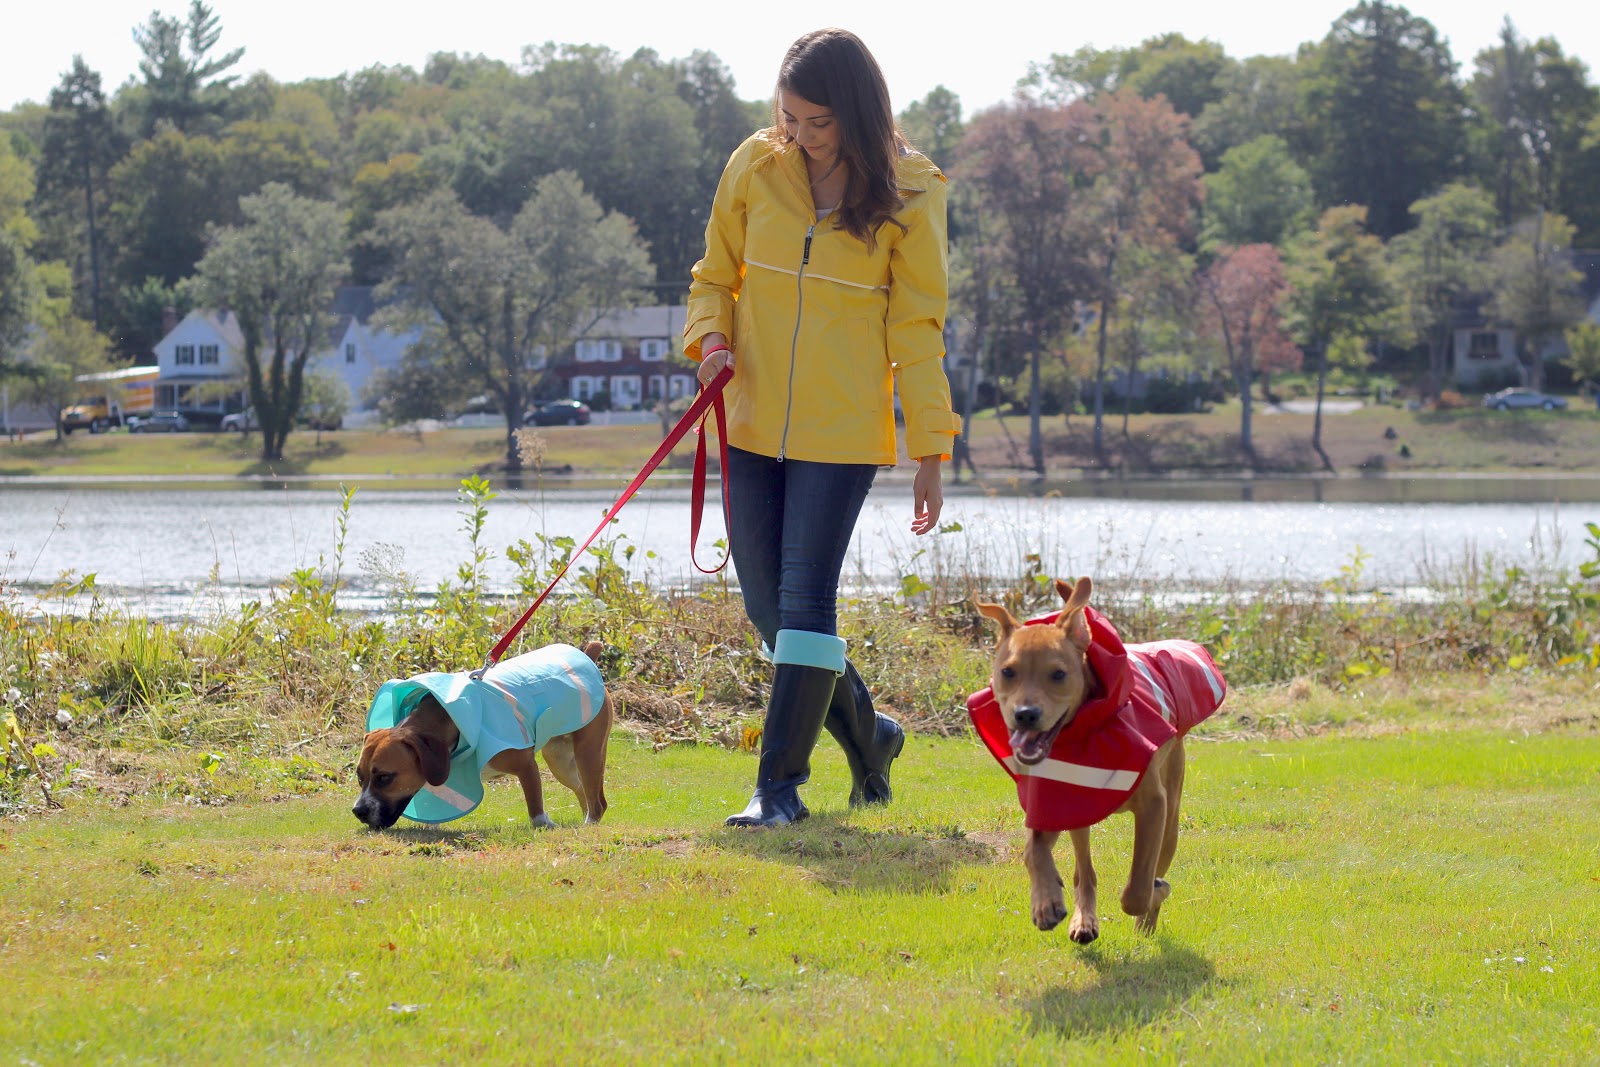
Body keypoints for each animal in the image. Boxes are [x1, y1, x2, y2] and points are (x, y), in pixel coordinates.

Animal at [355, 639, 611, 831]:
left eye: (385, 777)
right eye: (359, 777)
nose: (358, 811)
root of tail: (587, 656)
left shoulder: (526, 767)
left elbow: (535, 808)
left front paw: (545, 824)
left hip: (588, 755)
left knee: (597, 803)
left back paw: (588, 825)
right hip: (561, 763)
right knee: (584, 793)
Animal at [972, 579, 1222, 940]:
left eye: (1058, 674)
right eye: (1008, 671)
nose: (1025, 714)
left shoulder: (1154, 806)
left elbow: (1138, 890)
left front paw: (1154, 894)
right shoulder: (1057, 802)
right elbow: (1034, 851)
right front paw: (1046, 902)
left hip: (1172, 816)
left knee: (1152, 869)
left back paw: (1147, 919)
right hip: (1081, 816)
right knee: (1084, 872)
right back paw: (1084, 920)